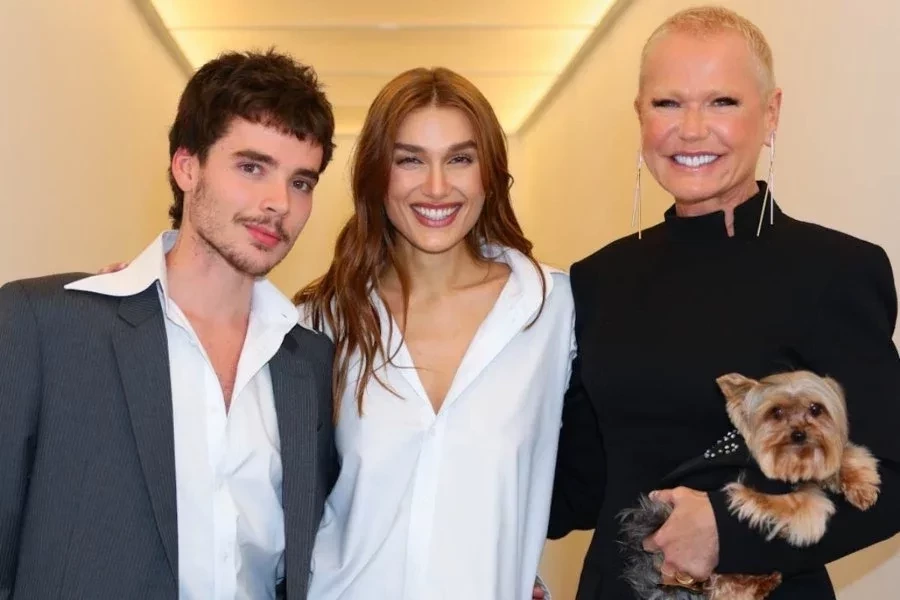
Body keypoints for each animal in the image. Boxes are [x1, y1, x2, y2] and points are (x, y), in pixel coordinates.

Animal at [618, 370, 881, 600]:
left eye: (816, 409)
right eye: (776, 412)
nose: (799, 434)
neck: (792, 457)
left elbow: (840, 459)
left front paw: (862, 484)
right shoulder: (750, 493)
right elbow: (800, 500)